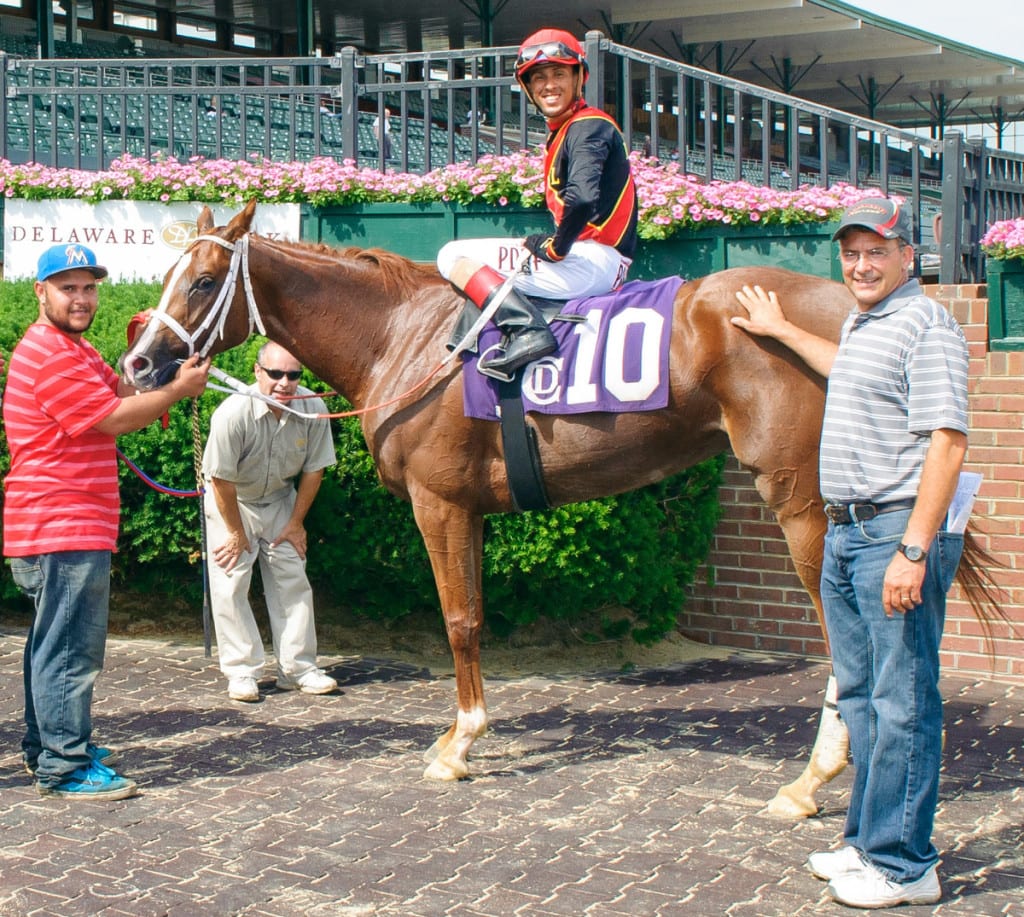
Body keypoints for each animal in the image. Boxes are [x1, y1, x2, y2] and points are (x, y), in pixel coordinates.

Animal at [125, 202, 856, 818]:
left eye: (203, 281)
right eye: (170, 277)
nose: (137, 363)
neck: (402, 337)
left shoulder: (439, 503)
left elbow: (456, 621)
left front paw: (460, 744)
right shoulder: (470, 508)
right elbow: (473, 617)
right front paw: (458, 732)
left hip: (804, 502)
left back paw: (813, 780)